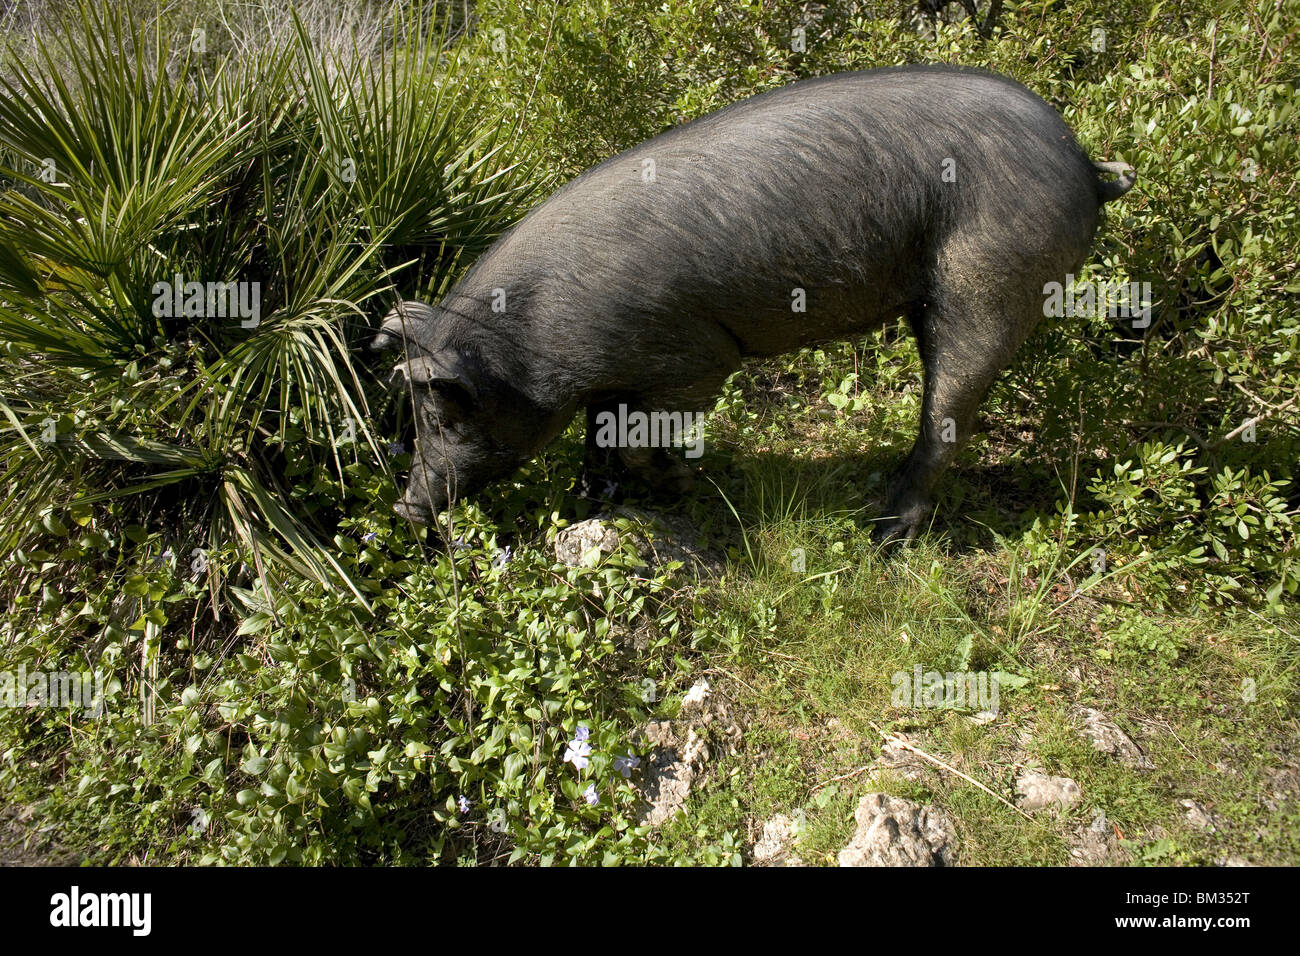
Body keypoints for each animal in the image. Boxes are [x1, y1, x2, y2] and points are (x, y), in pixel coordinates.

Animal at [371, 66, 1133, 541]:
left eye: (441, 414)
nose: (406, 508)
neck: (531, 344)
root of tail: (1086, 164)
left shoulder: (694, 358)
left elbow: (643, 437)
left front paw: (681, 487)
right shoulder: (613, 375)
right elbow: (601, 431)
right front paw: (594, 497)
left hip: (990, 282)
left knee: (948, 415)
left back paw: (883, 533)